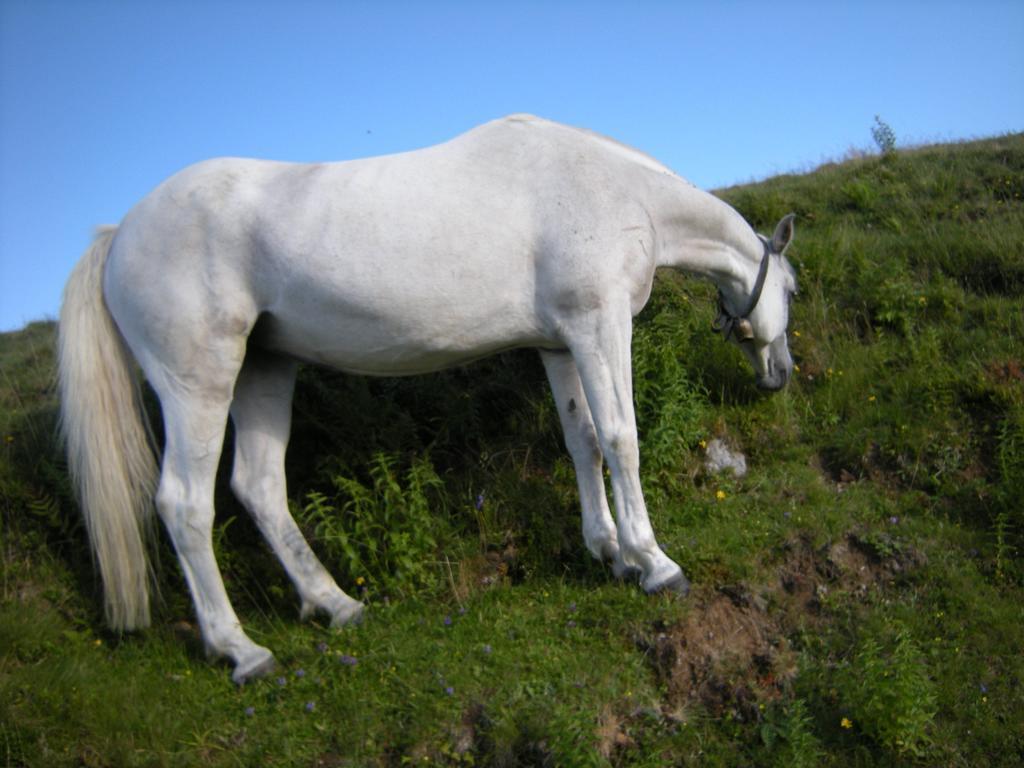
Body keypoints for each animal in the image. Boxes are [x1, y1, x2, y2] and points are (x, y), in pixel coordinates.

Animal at [56, 112, 794, 679]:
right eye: (791, 286)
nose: (780, 373)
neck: (612, 189)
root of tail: (118, 236)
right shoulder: (599, 324)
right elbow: (620, 438)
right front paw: (653, 561)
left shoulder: (560, 344)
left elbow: (582, 441)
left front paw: (608, 551)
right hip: (200, 383)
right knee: (184, 504)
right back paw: (242, 650)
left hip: (264, 370)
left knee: (259, 487)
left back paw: (336, 605)